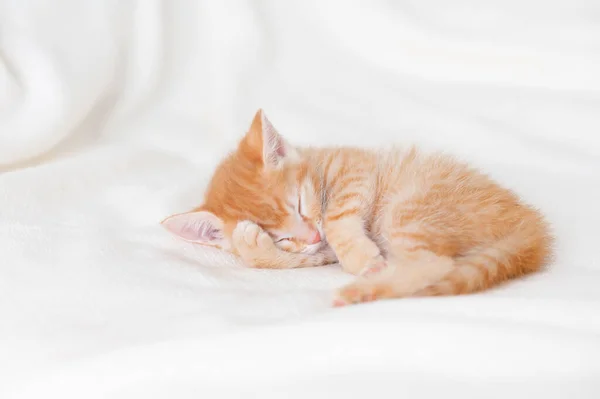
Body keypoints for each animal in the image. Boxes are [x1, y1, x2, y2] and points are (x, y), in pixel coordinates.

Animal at [161, 109, 552, 306]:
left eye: (299, 204)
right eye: (280, 237)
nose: (310, 235)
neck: (318, 165)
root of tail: (528, 222)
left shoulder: (356, 169)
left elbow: (336, 218)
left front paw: (361, 257)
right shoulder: (317, 252)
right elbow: (285, 259)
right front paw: (251, 244)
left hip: (408, 211)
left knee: (436, 264)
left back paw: (363, 286)